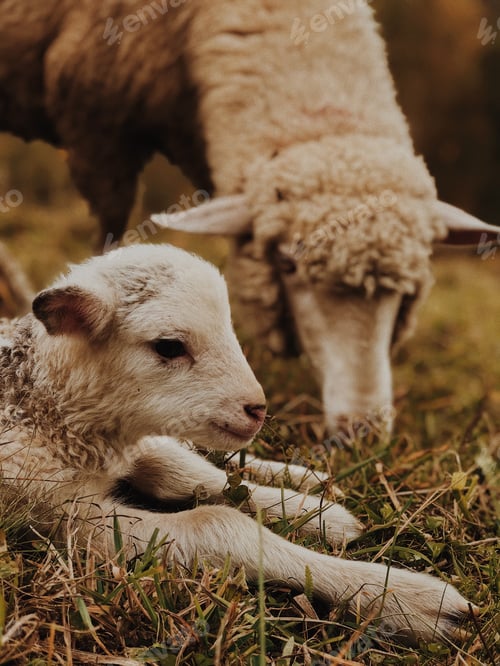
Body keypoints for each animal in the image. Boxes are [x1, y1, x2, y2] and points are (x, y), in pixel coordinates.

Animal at [0, 243, 475, 644]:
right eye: (168, 346)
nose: (257, 409)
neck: (45, 409)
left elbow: (185, 473)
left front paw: (318, 513)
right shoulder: (66, 520)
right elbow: (218, 523)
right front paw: (403, 597)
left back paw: (308, 480)